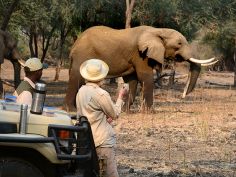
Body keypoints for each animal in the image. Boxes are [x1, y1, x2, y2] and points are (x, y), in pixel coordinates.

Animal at [63, 25, 217, 110]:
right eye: (179, 44)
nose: (183, 95)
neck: (157, 30)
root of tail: (75, 43)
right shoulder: (141, 54)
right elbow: (145, 77)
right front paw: (150, 113)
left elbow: (132, 80)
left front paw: (125, 111)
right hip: (83, 54)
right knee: (77, 77)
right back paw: (71, 110)